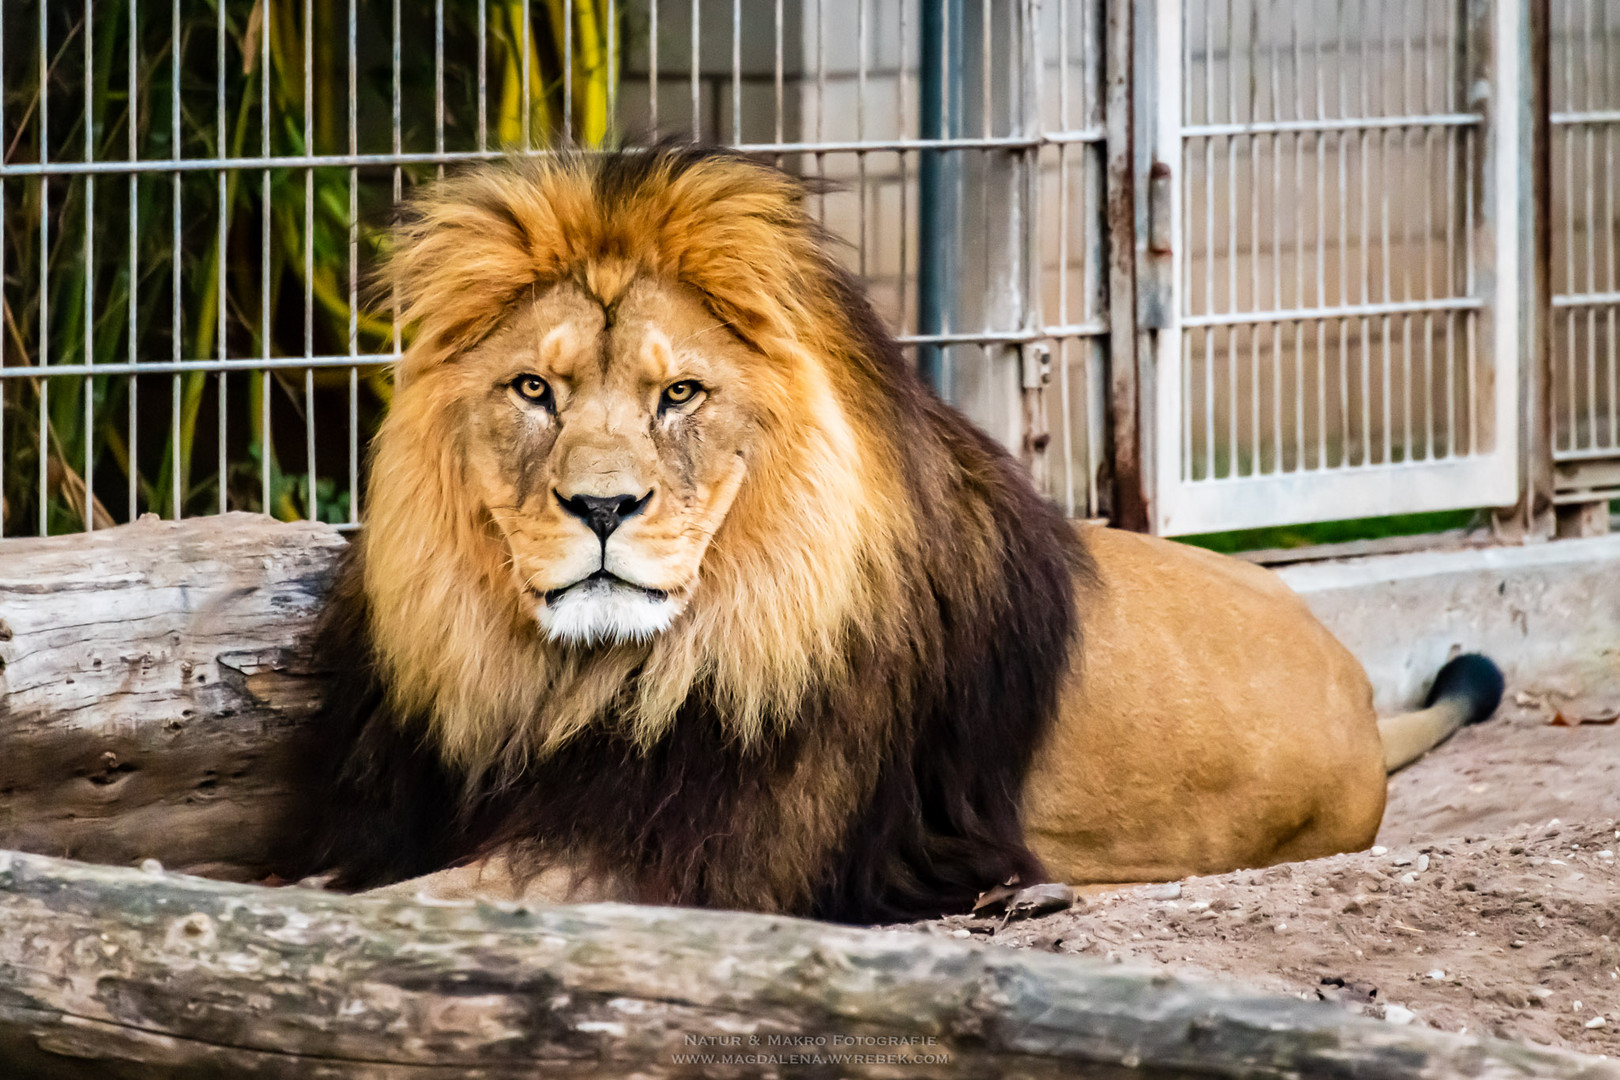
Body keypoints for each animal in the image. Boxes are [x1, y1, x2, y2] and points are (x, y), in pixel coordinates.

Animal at [291, 143, 1503, 919]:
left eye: (679, 395)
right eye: (534, 390)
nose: (601, 508)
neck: (574, 683)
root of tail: (1355, 690)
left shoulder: (704, 859)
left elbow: (419, 901)